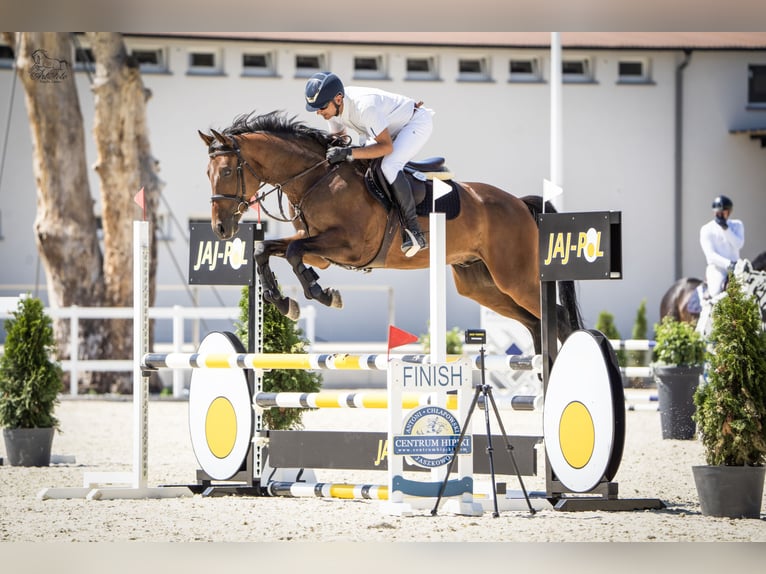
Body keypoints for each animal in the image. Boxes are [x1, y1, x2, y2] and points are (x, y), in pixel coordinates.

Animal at [198, 111, 583, 353]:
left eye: (229, 172)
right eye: (208, 173)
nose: (221, 228)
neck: (316, 177)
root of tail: (519, 203)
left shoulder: (350, 247)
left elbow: (292, 253)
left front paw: (322, 295)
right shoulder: (320, 252)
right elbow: (267, 250)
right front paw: (284, 301)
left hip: (515, 278)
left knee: (558, 318)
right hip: (482, 285)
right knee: (535, 323)